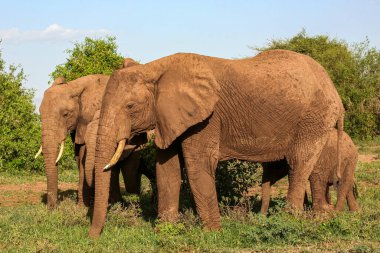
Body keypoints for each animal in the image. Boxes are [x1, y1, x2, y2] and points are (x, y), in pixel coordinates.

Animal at [37, 58, 151, 209]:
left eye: (66, 114)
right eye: (40, 114)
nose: (52, 209)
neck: (75, 86)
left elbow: (85, 156)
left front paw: (84, 207)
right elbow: (79, 155)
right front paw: (82, 206)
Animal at [89, 50, 344, 237]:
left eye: (130, 106)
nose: (93, 237)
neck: (155, 68)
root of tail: (332, 86)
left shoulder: (207, 118)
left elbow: (197, 166)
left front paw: (212, 233)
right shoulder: (169, 117)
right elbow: (167, 169)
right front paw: (165, 231)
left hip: (314, 118)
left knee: (299, 163)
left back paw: (290, 221)